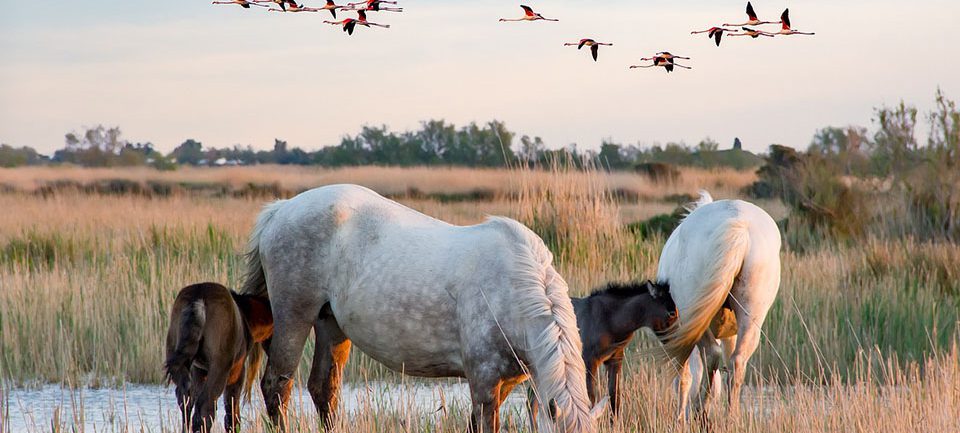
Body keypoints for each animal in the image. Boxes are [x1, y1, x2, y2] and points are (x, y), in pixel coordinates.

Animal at [164, 282, 274, 433]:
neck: (247, 317)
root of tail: (198, 299)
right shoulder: (237, 372)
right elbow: (232, 414)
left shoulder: (199, 370)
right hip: (220, 366)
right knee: (206, 405)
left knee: (186, 400)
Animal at [240, 184, 605, 433]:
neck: (514, 286)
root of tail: (281, 209)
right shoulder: (483, 382)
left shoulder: (505, 383)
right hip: (294, 315)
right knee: (277, 387)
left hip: (331, 325)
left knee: (323, 389)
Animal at [527, 280, 678, 427]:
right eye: (671, 313)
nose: (677, 342)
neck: (609, 321)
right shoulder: (589, 361)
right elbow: (590, 397)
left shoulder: (615, 360)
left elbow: (614, 396)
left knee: (533, 399)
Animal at [655, 191, 781, 420]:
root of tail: (739, 225)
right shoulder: (730, 333)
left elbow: (684, 378)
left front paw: (679, 417)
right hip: (751, 317)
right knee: (737, 362)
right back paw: (731, 417)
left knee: (711, 354)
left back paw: (701, 410)